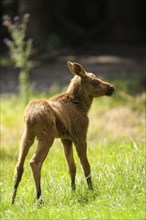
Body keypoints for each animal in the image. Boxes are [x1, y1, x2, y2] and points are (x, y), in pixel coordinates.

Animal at [11, 61, 114, 204]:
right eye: (95, 81)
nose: (111, 88)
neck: (82, 106)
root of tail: (31, 117)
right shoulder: (80, 135)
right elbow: (85, 165)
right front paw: (91, 191)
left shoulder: (66, 139)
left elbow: (71, 166)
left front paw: (73, 192)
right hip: (46, 137)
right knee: (34, 162)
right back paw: (39, 198)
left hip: (27, 137)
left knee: (19, 166)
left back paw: (12, 200)